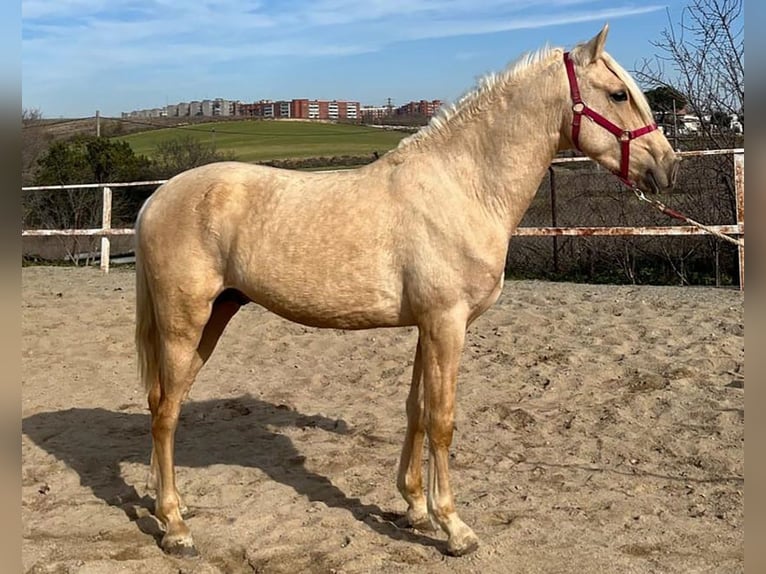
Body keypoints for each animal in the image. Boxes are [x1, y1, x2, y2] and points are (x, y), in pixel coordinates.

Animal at [136, 25, 680, 560]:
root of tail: (156, 199)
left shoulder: (427, 326)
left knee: (165, 402)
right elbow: (441, 419)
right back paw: (176, 527)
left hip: (216, 315)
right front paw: (454, 527)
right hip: (185, 322)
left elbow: (415, 410)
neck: (463, 187)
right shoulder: (446, 323)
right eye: (618, 94)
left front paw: (415, 506)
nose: (667, 167)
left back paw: (165, 506)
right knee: (165, 411)